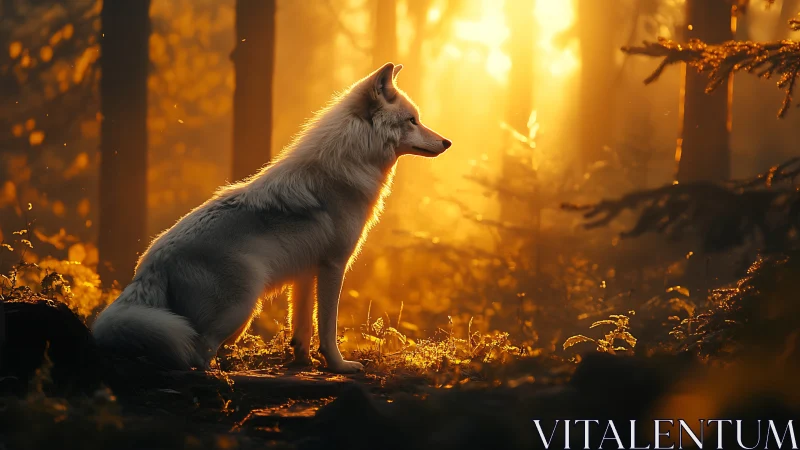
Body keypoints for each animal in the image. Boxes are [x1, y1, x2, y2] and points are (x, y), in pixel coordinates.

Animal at [92, 63, 451, 373]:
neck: (348, 163)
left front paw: (302, 363)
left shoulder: (305, 273)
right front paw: (339, 366)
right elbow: (327, 327)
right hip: (241, 308)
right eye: (412, 120)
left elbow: (302, 327)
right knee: (197, 352)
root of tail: (150, 264)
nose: (447, 141)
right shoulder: (333, 266)